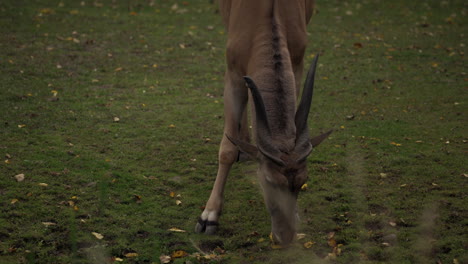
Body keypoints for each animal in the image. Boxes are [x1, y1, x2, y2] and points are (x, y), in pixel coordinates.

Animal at [196, 0, 330, 245]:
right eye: (268, 181)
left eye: (303, 181)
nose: (285, 237)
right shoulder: (233, 76)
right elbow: (227, 150)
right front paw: (209, 216)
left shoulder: (296, 65)